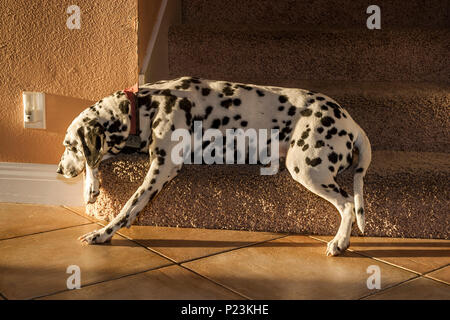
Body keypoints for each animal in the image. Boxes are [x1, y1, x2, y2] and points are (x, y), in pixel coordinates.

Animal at [58, 76, 370, 256]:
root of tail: (352, 123)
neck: (150, 102)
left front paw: (102, 234)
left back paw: (340, 242)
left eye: (69, 145)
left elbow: (128, 207)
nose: (59, 171)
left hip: (306, 167)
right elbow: (96, 160)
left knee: (347, 204)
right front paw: (90, 187)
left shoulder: (162, 168)